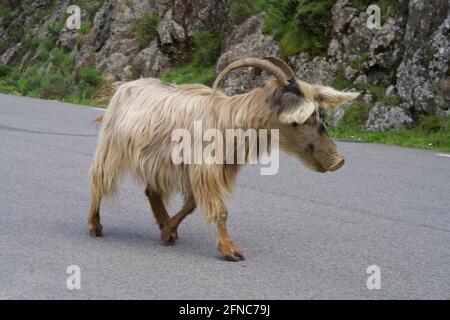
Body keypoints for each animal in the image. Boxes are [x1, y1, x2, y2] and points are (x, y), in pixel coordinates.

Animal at [89, 57, 360, 262]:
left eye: (321, 115)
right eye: (298, 121)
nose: (337, 161)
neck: (228, 119)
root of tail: (126, 86)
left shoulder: (198, 170)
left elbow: (192, 204)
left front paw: (168, 231)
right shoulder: (203, 168)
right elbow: (220, 211)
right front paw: (230, 250)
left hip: (155, 160)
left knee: (151, 191)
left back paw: (163, 224)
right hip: (112, 147)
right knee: (98, 180)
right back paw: (95, 225)